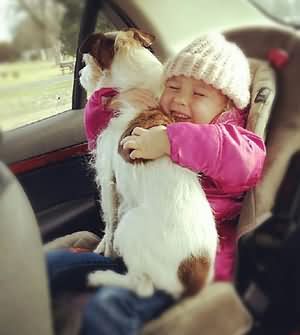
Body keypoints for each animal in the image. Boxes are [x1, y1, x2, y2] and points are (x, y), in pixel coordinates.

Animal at [78, 29, 217, 300]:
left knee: (142, 287)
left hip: (129, 227)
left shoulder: (107, 176)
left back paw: (101, 277)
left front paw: (105, 248)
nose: (78, 73)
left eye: (88, 61)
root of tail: (191, 281)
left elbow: (108, 218)